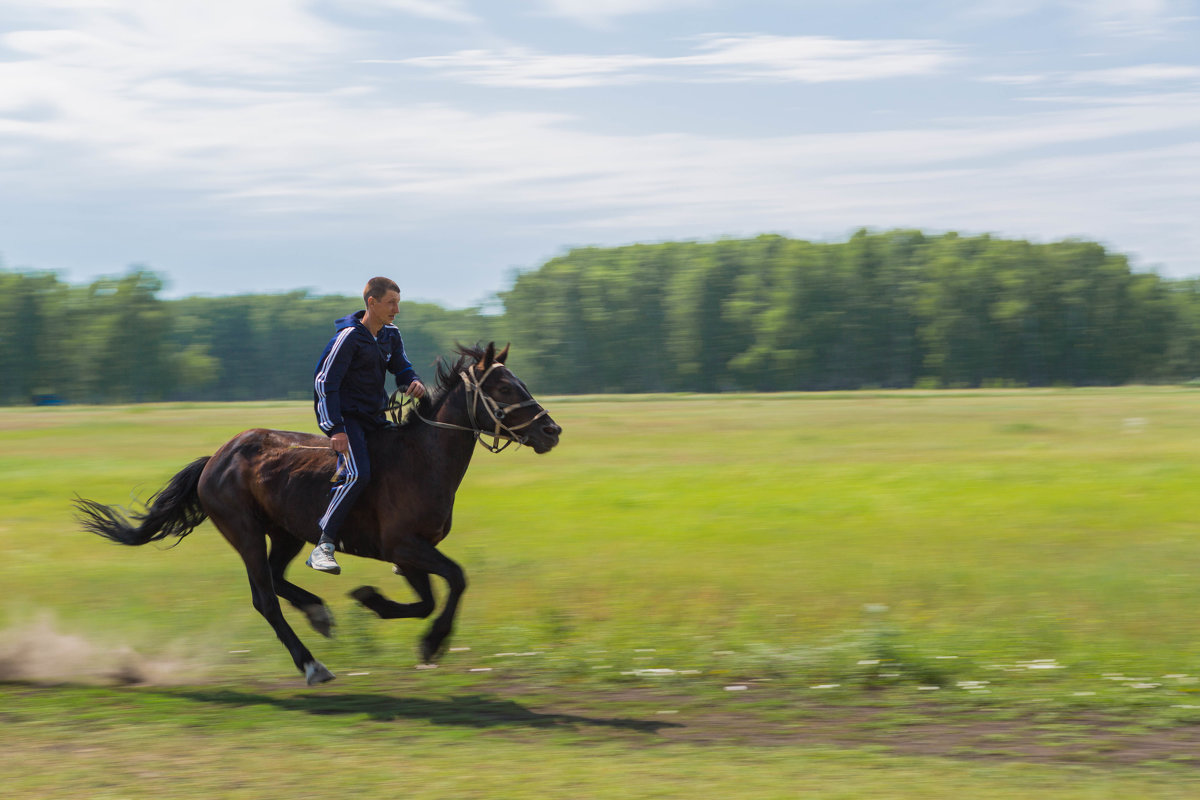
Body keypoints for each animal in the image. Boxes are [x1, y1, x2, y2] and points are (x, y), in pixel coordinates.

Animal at [76, 340, 561, 686]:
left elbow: (426, 600)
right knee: (265, 598)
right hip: (245, 532)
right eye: (504, 387)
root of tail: (215, 458)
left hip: (287, 533)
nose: (551, 430)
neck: (421, 458)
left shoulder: (408, 553)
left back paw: (318, 613)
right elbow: (456, 579)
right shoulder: (403, 545)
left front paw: (373, 602)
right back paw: (312, 664)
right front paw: (431, 643)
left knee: (276, 579)